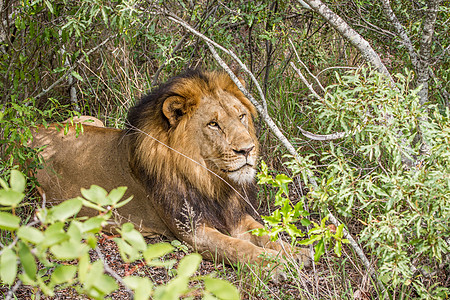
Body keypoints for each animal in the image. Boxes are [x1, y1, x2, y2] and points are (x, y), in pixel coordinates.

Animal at [30, 70, 310, 272]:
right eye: (213, 124)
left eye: (241, 116)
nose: (248, 149)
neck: (211, 180)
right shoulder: (192, 231)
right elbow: (238, 247)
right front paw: (274, 263)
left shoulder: (235, 215)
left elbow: (265, 234)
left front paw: (297, 253)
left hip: (87, 119)